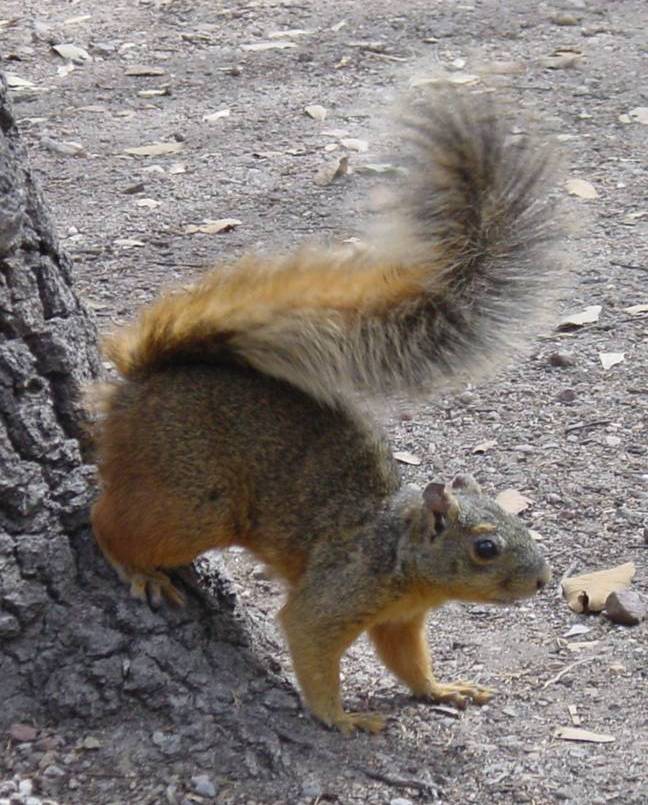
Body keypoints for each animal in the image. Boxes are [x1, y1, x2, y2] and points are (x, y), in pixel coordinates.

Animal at [90, 90, 559, 735]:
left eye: (521, 523)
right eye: (484, 547)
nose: (543, 579)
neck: (400, 549)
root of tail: (141, 379)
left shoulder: (399, 620)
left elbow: (407, 662)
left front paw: (443, 688)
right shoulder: (341, 589)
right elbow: (307, 638)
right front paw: (341, 719)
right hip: (190, 501)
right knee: (107, 521)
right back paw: (135, 567)